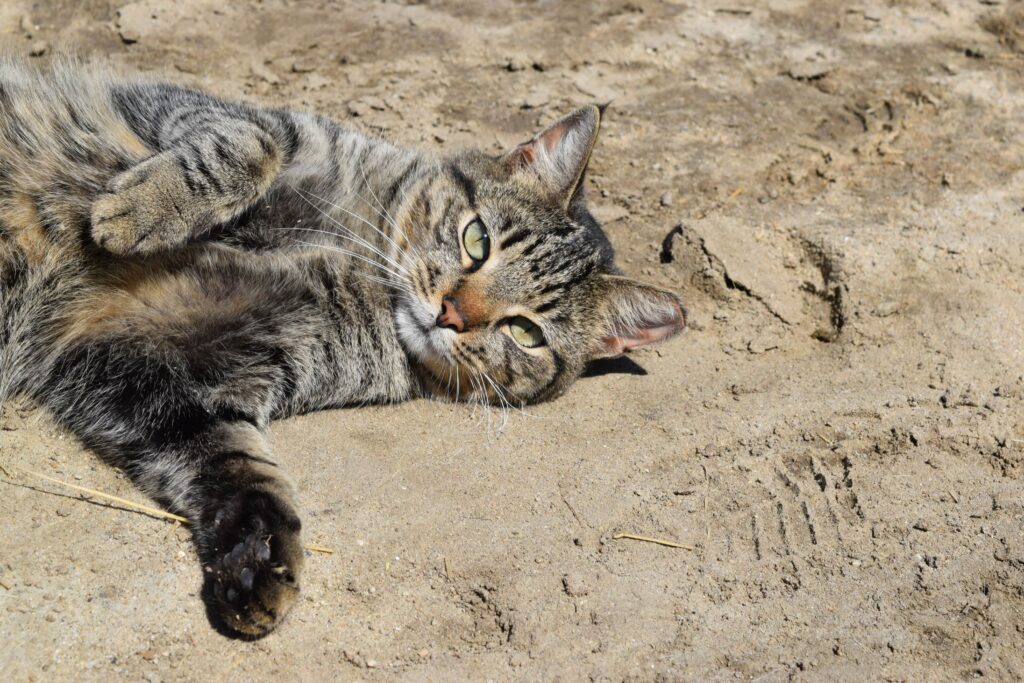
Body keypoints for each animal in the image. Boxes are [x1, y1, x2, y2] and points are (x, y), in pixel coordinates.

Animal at [0, 57, 686, 637]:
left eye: (526, 333)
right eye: (477, 240)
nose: (452, 313)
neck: (364, 259)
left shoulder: (159, 374)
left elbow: (243, 470)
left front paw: (259, 560)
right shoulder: (220, 115)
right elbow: (250, 143)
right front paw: (140, 210)